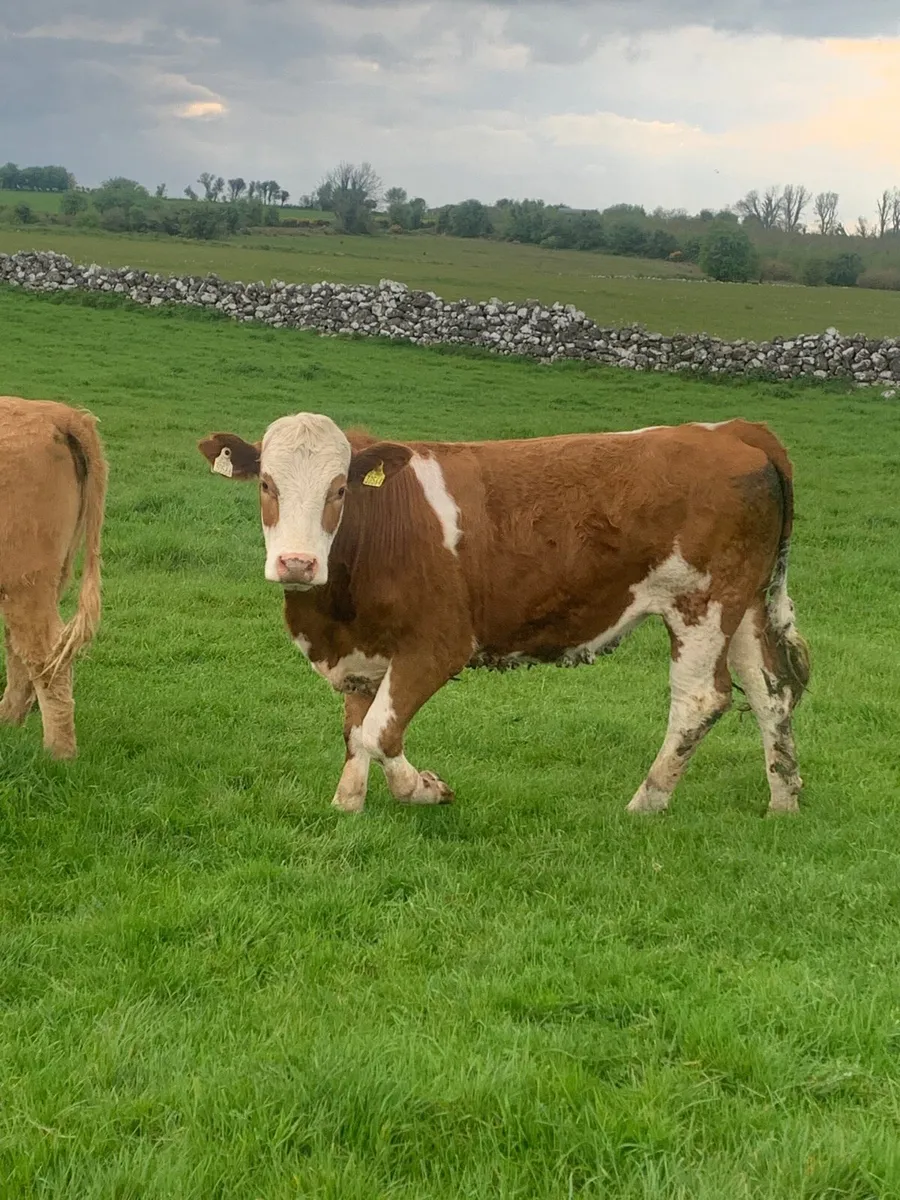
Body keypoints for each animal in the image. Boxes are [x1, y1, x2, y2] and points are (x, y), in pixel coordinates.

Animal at [198, 413, 809, 815]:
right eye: (267, 484)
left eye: (340, 489)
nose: (296, 562)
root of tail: (729, 431)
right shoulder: (359, 651)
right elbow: (356, 729)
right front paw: (348, 803)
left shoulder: (438, 645)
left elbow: (378, 732)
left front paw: (426, 789)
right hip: (742, 604)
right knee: (771, 690)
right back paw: (783, 801)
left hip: (699, 604)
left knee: (701, 699)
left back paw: (646, 802)